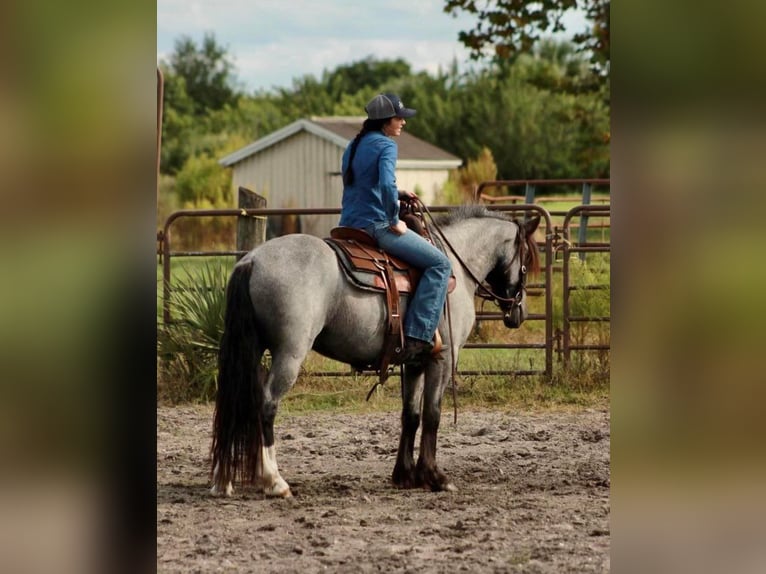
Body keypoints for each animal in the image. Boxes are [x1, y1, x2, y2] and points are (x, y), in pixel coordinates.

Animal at [213, 205, 544, 498]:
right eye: (526, 258)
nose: (520, 313)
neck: (456, 267)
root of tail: (252, 261)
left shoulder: (414, 362)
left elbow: (410, 415)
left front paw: (405, 476)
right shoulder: (443, 359)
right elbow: (432, 415)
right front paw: (435, 477)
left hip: (251, 351)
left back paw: (225, 480)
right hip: (289, 354)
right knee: (266, 404)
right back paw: (274, 481)